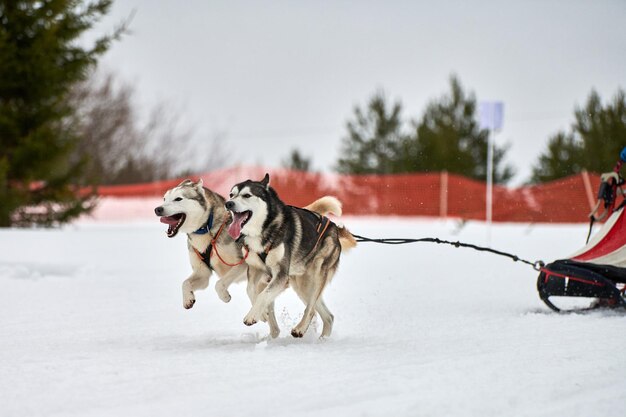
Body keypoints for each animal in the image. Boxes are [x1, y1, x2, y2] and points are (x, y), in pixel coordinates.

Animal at [225, 174, 356, 336]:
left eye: (247, 195)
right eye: (231, 194)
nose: (228, 203)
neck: (264, 230)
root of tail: (333, 226)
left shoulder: (281, 275)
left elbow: (263, 295)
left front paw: (252, 315)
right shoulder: (256, 269)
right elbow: (250, 290)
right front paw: (262, 314)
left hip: (317, 275)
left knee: (311, 308)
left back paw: (300, 328)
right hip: (302, 285)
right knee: (327, 316)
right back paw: (323, 338)